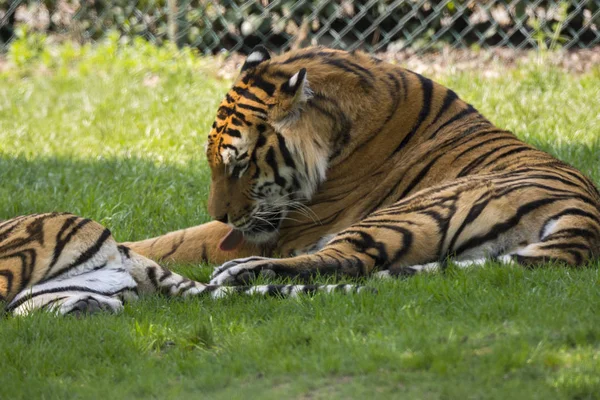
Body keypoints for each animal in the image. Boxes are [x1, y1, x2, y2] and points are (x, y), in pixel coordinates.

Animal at [123, 46, 600, 284]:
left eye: (239, 165)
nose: (220, 215)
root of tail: (584, 222)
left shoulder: (279, 229)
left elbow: (176, 241)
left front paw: (123, 247)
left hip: (406, 211)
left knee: (350, 259)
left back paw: (241, 272)